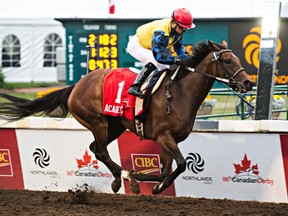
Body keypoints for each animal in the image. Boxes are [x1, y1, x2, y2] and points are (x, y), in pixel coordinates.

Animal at [0, 40, 253, 194]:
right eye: (228, 61)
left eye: (238, 59)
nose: (248, 83)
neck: (181, 92)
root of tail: (76, 85)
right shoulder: (164, 136)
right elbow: (181, 165)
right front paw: (138, 178)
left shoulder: (170, 139)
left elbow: (166, 170)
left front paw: (153, 185)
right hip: (98, 122)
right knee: (101, 151)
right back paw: (123, 177)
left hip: (115, 126)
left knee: (95, 149)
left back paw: (117, 178)